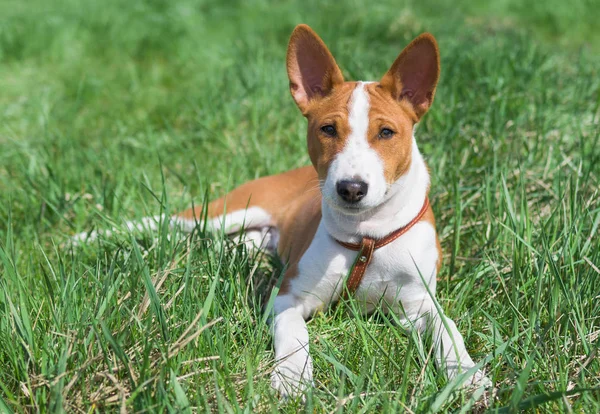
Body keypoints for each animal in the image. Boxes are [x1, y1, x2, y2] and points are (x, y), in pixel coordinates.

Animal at [72, 24, 490, 396]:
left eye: (386, 132)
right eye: (327, 129)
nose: (351, 188)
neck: (365, 237)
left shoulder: (418, 305)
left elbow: (449, 329)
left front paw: (466, 376)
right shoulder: (288, 296)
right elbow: (294, 334)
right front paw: (292, 378)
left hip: (251, 239)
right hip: (228, 212)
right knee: (165, 224)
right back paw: (84, 240)